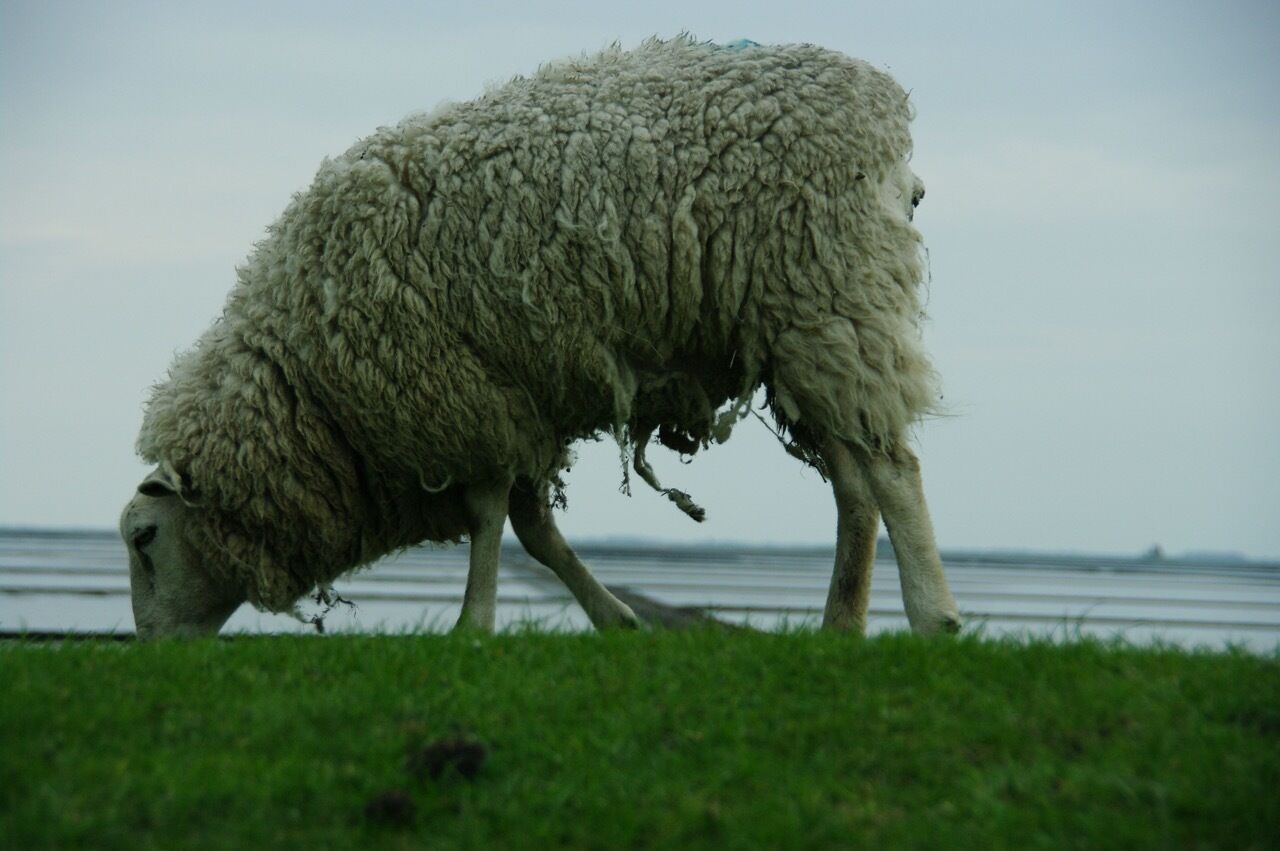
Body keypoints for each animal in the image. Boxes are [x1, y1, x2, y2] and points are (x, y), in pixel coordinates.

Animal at [119, 36, 961, 638]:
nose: (153, 654)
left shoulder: (463, 395)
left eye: (144, 539)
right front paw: (615, 617)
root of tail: (885, 107)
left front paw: (473, 624)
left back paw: (934, 616)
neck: (306, 386)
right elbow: (535, 529)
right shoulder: (508, 403)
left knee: (893, 469)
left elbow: (493, 516)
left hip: (833, 296)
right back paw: (840, 625)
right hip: (802, 331)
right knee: (855, 483)